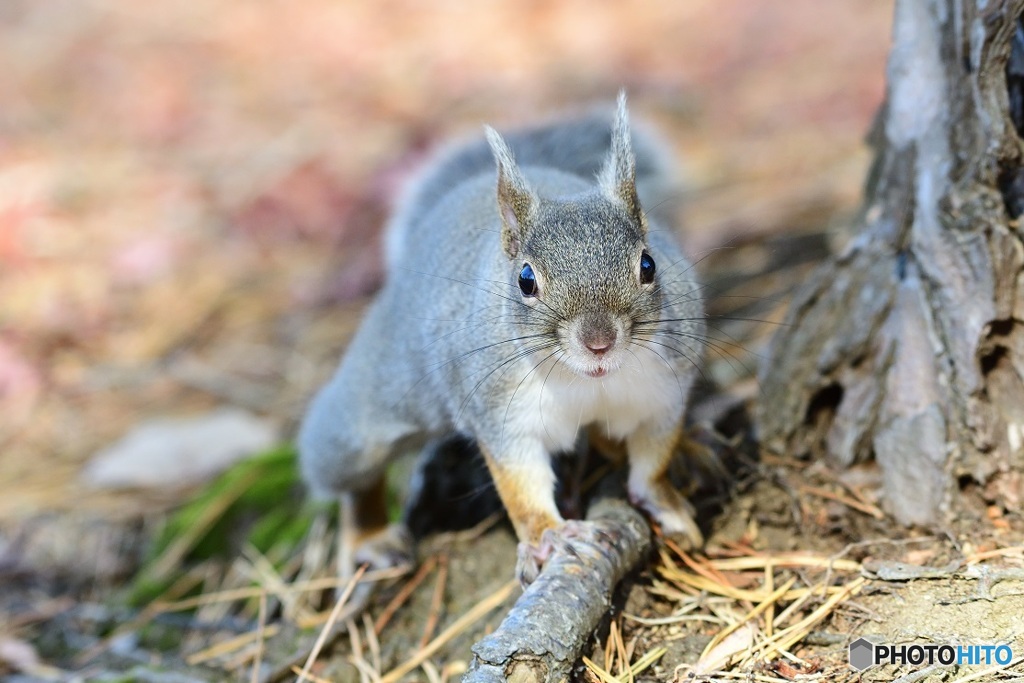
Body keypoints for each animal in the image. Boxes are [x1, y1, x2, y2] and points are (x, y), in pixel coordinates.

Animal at [299, 90, 708, 581]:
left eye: (648, 265)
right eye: (526, 280)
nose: (598, 342)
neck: (589, 381)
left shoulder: (664, 391)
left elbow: (653, 459)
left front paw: (665, 498)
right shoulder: (502, 412)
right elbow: (521, 484)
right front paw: (549, 536)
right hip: (370, 408)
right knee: (351, 473)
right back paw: (368, 535)